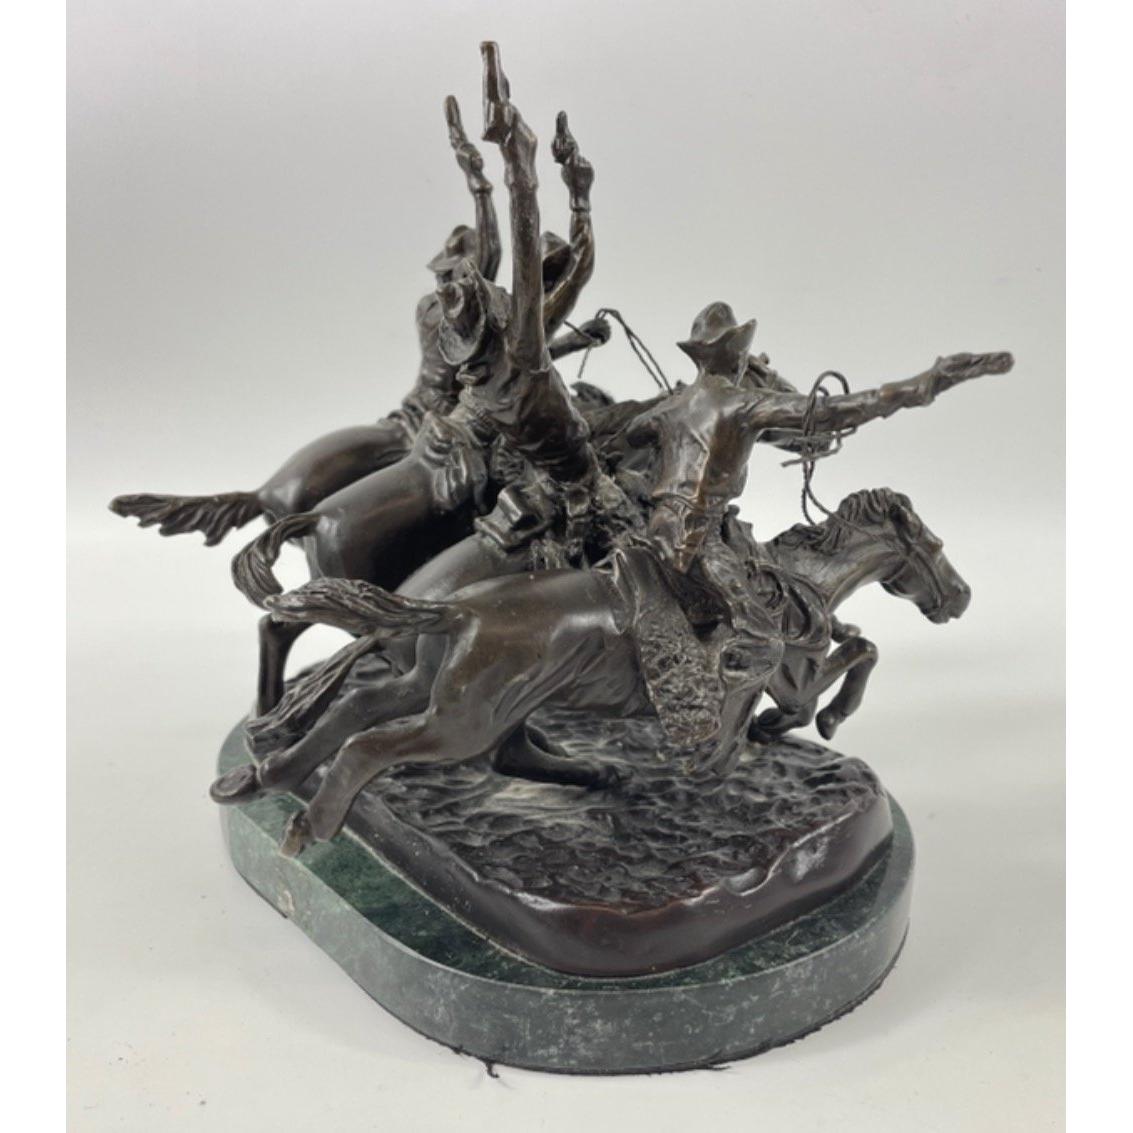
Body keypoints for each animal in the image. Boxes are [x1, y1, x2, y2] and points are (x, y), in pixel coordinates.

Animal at [209, 487, 971, 857]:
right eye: (933, 544)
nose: (959, 598)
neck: (793, 585)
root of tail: (456, 610)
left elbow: (857, 649)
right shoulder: (790, 671)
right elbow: (855, 658)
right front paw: (810, 721)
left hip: (435, 690)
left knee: (352, 710)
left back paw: (264, 775)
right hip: (461, 717)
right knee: (371, 742)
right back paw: (309, 823)